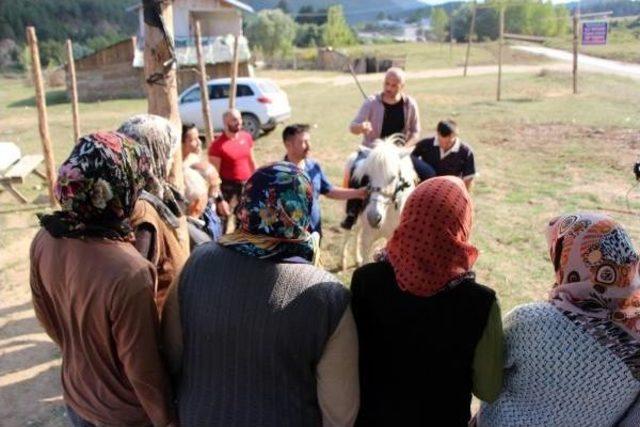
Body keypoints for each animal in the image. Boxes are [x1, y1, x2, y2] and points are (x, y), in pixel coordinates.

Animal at [342, 135, 418, 272]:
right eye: (367, 176)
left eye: (393, 177)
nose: (374, 217)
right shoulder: (368, 239)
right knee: (349, 231)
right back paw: (343, 262)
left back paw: (357, 259)